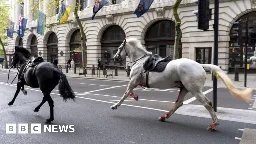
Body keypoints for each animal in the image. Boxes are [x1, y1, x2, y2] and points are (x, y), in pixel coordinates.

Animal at [110, 37, 254, 131]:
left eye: (119, 48)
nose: (115, 58)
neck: (141, 61)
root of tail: (200, 65)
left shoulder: (133, 81)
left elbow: (125, 93)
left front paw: (115, 105)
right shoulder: (135, 82)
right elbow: (129, 92)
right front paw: (135, 97)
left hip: (194, 90)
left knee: (207, 103)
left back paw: (214, 124)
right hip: (184, 88)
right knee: (179, 103)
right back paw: (164, 116)